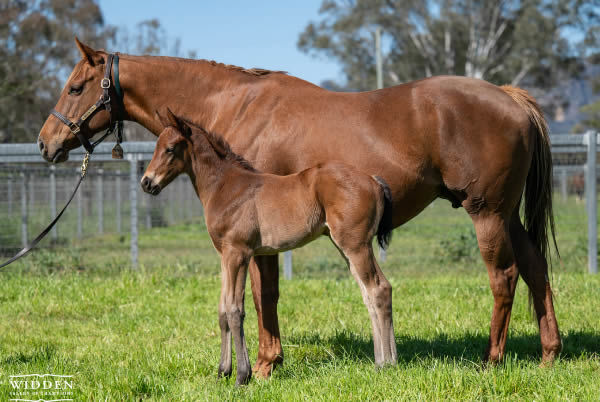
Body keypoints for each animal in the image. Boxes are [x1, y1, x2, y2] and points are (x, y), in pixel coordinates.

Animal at [139, 109, 394, 384]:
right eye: (156, 146)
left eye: (170, 149)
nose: (146, 182)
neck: (227, 187)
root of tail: (373, 180)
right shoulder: (224, 256)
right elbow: (222, 311)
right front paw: (222, 372)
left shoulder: (238, 253)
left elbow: (235, 310)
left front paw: (242, 375)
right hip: (347, 247)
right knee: (370, 292)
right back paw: (382, 361)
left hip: (355, 246)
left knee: (379, 289)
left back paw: (386, 364)